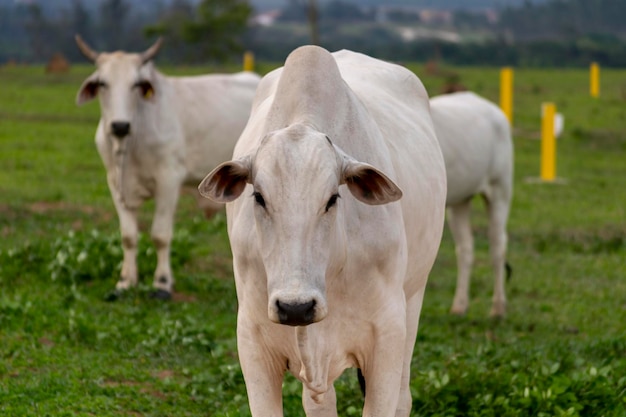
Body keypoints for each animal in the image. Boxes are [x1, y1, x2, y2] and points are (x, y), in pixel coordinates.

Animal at [74, 35, 260, 300]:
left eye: (136, 84)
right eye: (102, 83)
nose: (120, 126)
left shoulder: (168, 181)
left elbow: (160, 235)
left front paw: (161, 283)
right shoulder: (114, 183)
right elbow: (128, 236)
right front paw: (125, 281)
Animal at [197, 45, 446, 416]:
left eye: (332, 198)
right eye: (259, 196)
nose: (295, 307)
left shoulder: (387, 341)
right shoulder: (253, 344)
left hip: (414, 299)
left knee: (404, 398)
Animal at [428, 91, 512, 316]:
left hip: (500, 190)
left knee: (497, 245)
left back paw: (498, 308)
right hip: (460, 201)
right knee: (466, 248)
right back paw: (460, 305)